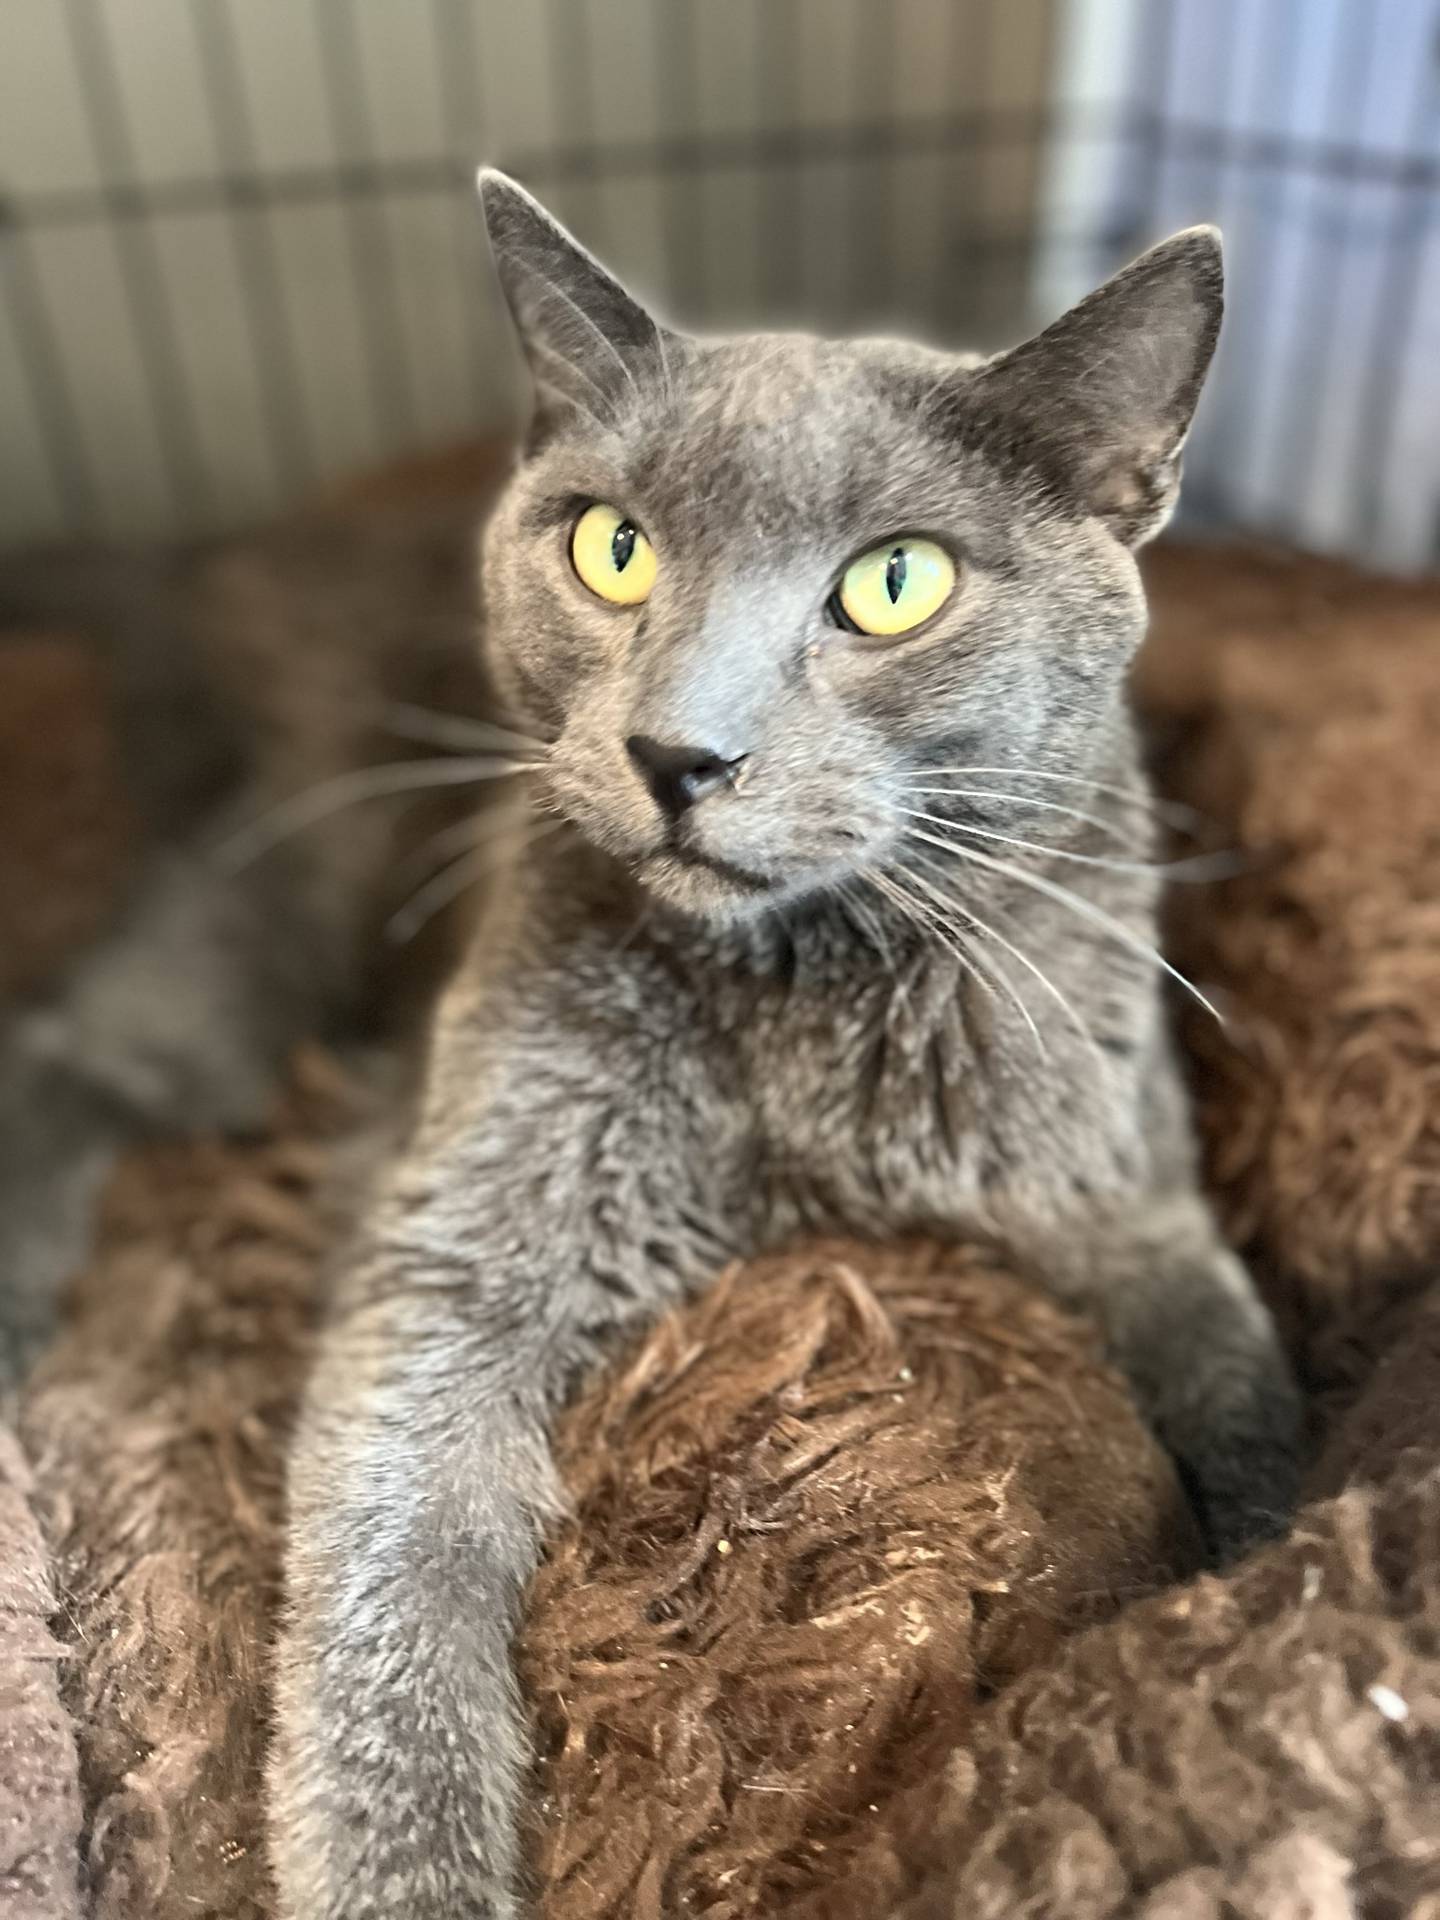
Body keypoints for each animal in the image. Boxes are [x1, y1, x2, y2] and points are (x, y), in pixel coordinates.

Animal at [264, 172, 1305, 1912]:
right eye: (612, 549)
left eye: (897, 581)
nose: (678, 753)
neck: (804, 1010)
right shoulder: (465, 1254)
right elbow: (384, 1613)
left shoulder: (1121, 1191)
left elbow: (1252, 1410)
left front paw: (1251, 1594)